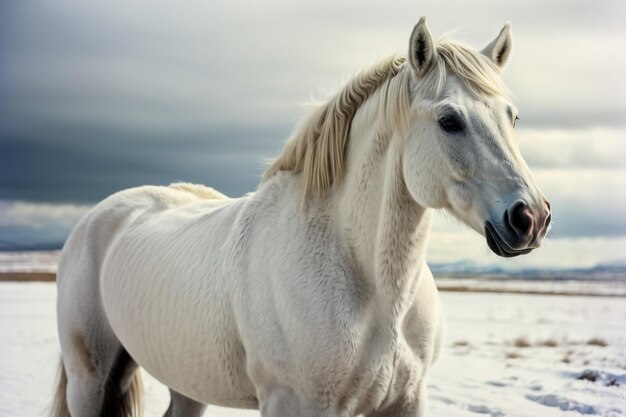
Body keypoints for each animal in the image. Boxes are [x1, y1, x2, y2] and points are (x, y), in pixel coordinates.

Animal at [54, 17, 552, 416]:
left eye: (513, 117)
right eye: (450, 120)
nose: (531, 217)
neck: (373, 290)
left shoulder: (406, 401)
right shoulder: (294, 403)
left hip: (185, 382)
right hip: (89, 379)